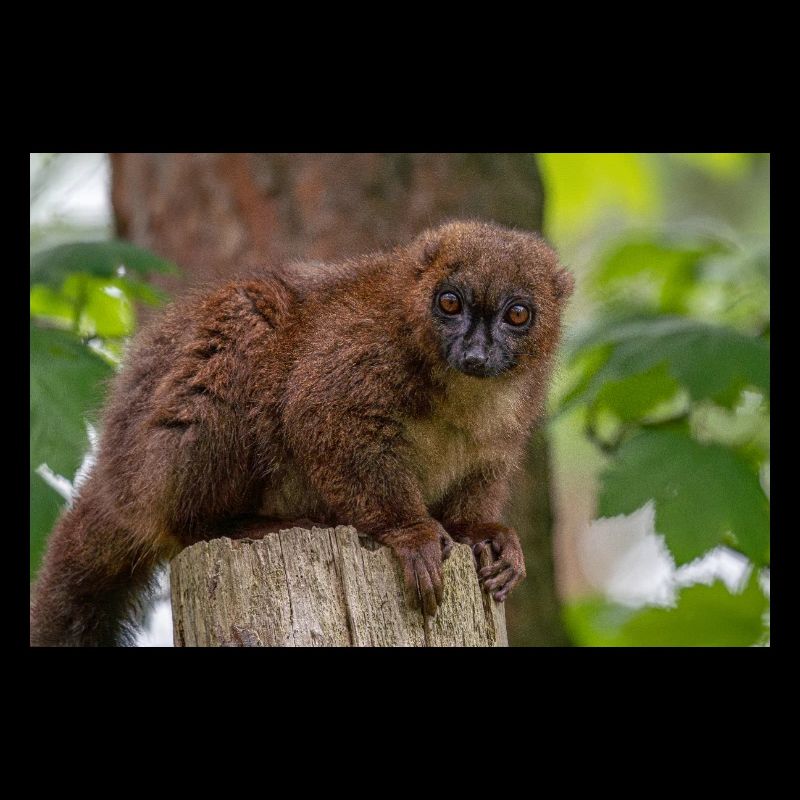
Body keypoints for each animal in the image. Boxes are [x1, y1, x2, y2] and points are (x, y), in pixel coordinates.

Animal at [29, 220, 574, 646]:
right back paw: (239, 525)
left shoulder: (513, 417)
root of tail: (116, 471)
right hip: (158, 461)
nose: (477, 353)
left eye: (517, 314)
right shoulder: (365, 347)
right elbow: (316, 414)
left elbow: (486, 465)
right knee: (247, 313)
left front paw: (479, 533)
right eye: (450, 303)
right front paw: (411, 532)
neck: (461, 390)